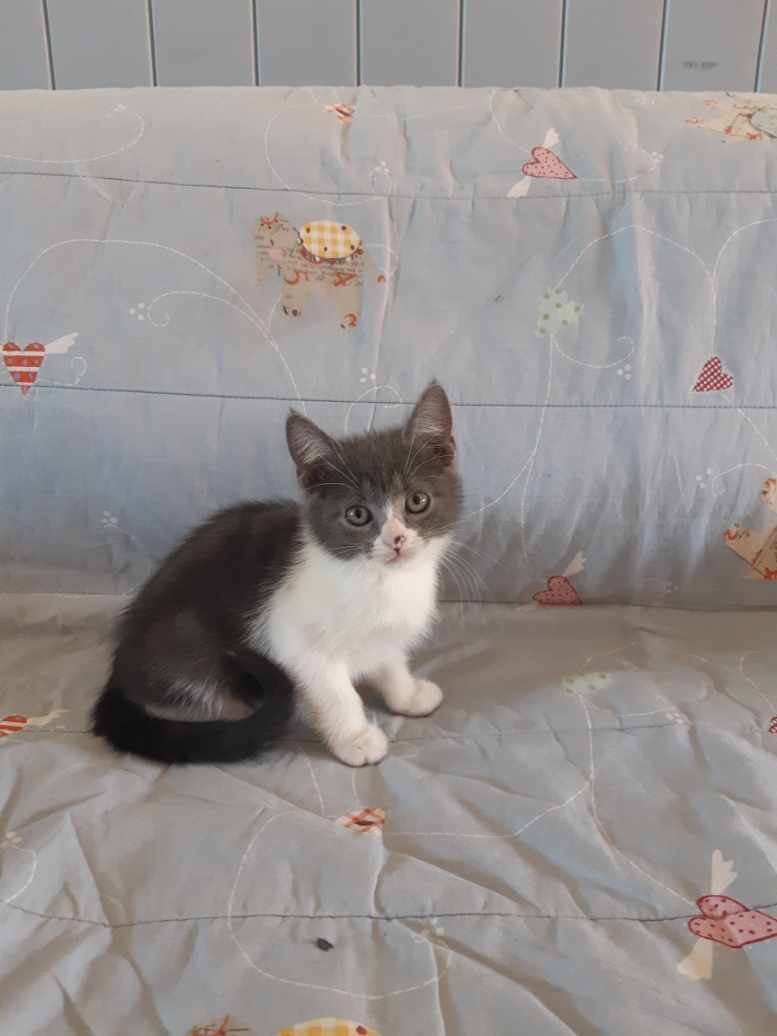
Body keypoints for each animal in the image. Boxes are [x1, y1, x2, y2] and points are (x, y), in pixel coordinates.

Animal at [92, 382, 462, 767]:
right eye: (357, 514)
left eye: (417, 501)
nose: (396, 540)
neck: (378, 581)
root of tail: (120, 667)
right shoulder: (293, 641)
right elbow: (336, 692)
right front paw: (355, 739)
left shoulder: (386, 632)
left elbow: (390, 660)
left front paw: (408, 695)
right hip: (187, 639)